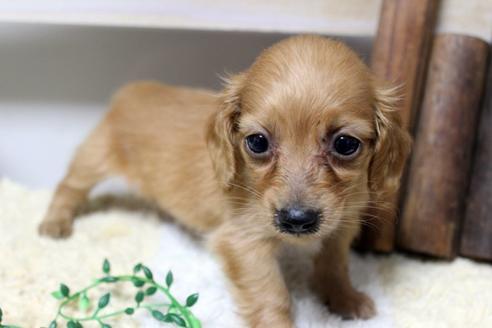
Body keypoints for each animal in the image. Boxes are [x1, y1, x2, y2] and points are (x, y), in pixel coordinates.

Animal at [38, 36, 412, 328]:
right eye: (257, 142)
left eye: (346, 144)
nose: (297, 220)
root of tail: (134, 89)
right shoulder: (243, 241)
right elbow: (271, 295)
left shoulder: (341, 224)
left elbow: (334, 264)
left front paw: (344, 298)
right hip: (94, 158)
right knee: (68, 186)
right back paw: (55, 223)